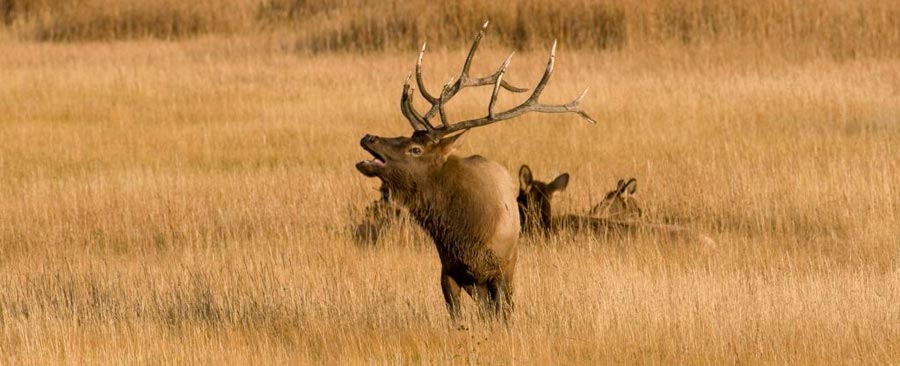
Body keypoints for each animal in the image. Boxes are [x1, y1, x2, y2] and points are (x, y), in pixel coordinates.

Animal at [356, 21, 596, 322]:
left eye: (415, 149)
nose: (369, 137)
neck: (464, 233)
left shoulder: (501, 272)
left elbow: (504, 315)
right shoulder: (448, 270)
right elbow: (457, 319)